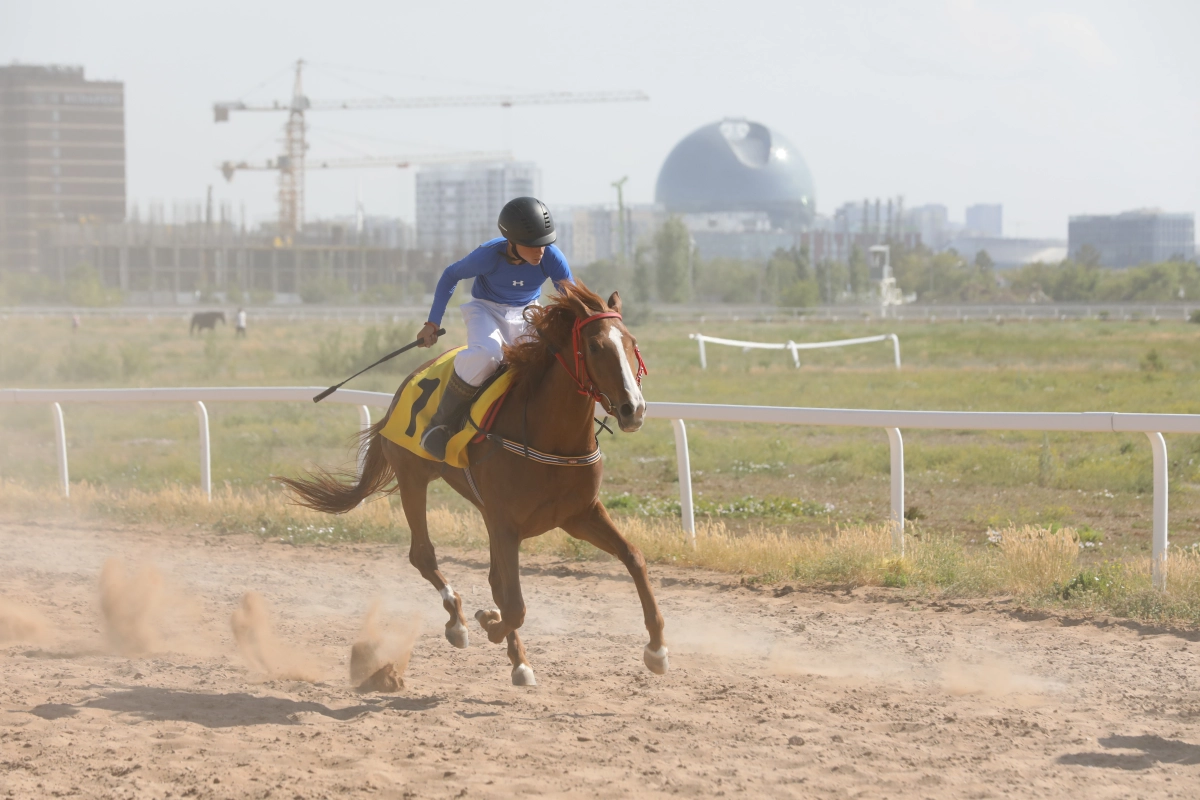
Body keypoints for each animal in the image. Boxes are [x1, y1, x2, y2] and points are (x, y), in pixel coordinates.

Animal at [278, 278, 667, 686]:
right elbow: (514, 605)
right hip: (413, 477)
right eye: (594, 346)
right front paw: (488, 624)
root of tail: (407, 382)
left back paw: (513, 655)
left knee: (492, 578)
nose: (634, 409)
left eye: (632, 343)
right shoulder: (507, 523)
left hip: (482, 510)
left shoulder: (578, 515)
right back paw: (459, 622)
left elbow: (634, 557)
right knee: (424, 555)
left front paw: (657, 649)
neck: (549, 437)